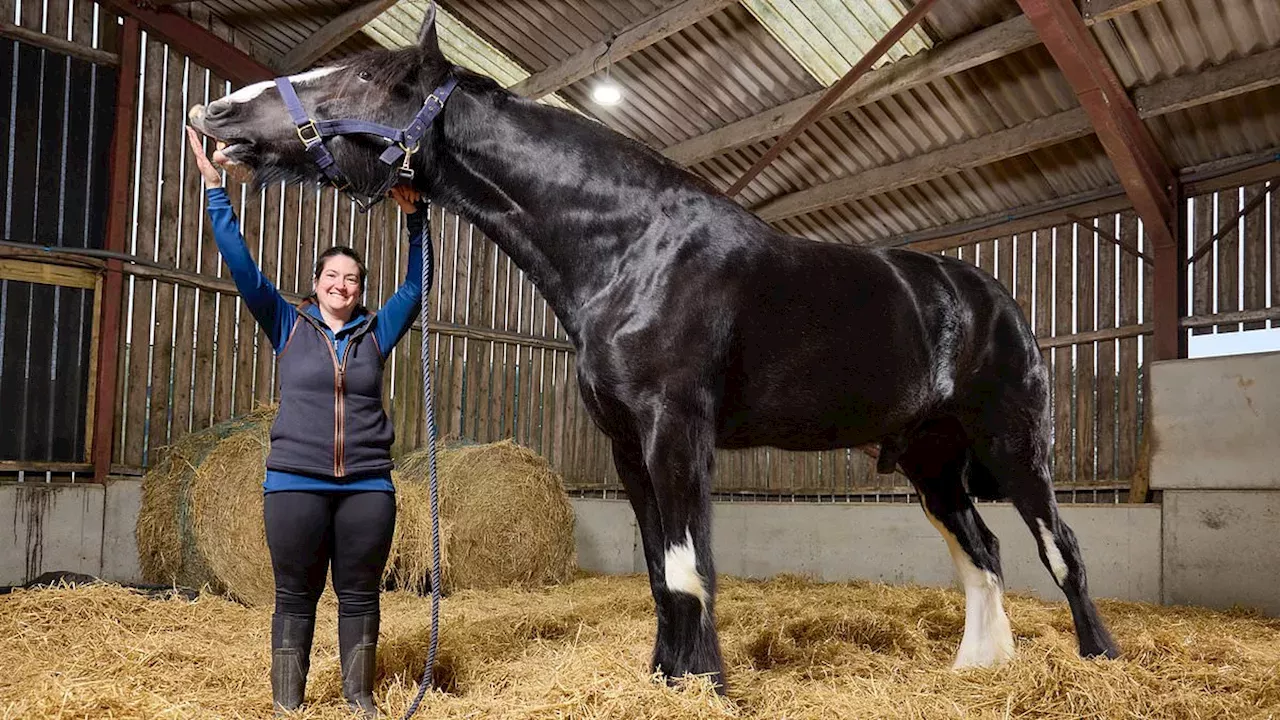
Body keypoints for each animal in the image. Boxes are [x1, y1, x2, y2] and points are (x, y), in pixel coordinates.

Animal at [186, 7, 1119, 692]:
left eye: (359, 78)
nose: (214, 113)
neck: (631, 247)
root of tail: (990, 298)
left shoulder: (678, 430)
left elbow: (688, 565)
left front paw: (705, 683)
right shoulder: (627, 443)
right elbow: (658, 569)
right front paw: (669, 676)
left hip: (1015, 445)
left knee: (1061, 549)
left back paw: (1098, 659)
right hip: (931, 462)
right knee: (984, 553)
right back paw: (978, 668)